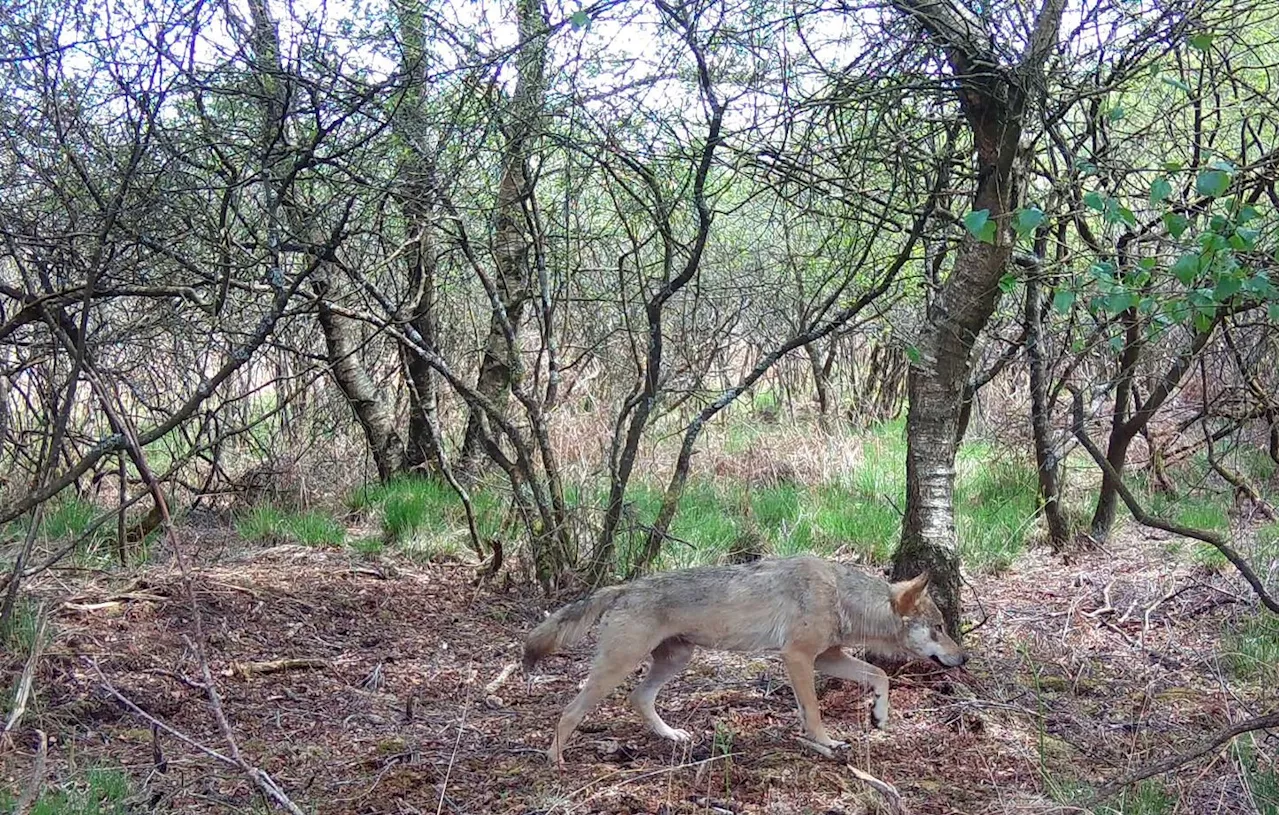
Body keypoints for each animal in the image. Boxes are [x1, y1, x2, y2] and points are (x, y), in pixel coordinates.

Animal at [522, 552, 967, 762]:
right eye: (939, 628)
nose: (963, 659)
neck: (842, 595)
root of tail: (623, 587)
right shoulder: (797, 658)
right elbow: (813, 710)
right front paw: (824, 742)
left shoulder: (827, 657)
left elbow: (880, 675)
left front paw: (878, 715)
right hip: (618, 667)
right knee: (570, 711)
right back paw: (555, 759)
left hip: (675, 660)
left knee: (639, 698)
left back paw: (671, 736)